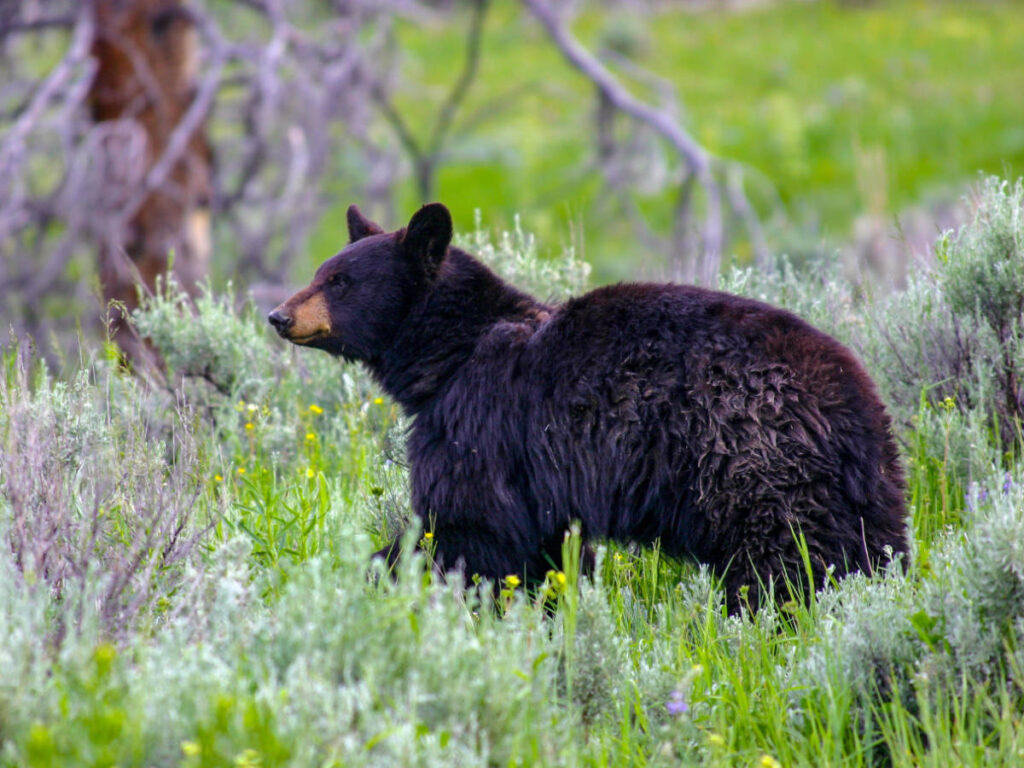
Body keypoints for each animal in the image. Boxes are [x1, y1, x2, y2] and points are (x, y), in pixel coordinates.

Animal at [268, 203, 909, 613]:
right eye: (322, 272)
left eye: (341, 281)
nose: (278, 315)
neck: (452, 354)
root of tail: (854, 402)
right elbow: (541, 551)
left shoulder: (481, 424)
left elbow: (468, 527)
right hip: (861, 489)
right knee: (867, 548)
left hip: (752, 462)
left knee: (785, 560)